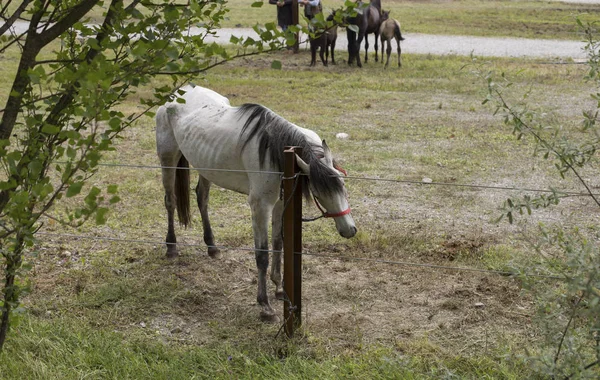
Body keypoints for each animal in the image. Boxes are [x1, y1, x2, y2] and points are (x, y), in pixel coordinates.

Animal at [155, 84, 356, 322]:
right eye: (318, 192)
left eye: (343, 185)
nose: (350, 230)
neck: (278, 153)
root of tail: (180, 90)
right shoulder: (260, 206)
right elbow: (262, 254)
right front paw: (265, 306)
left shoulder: (279, 203)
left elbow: (278, 243)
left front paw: (279, 288)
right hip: (168, 160)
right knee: (170, 201)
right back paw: (171, 247)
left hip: (206, 168)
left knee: (202, 198)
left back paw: (212, 247)